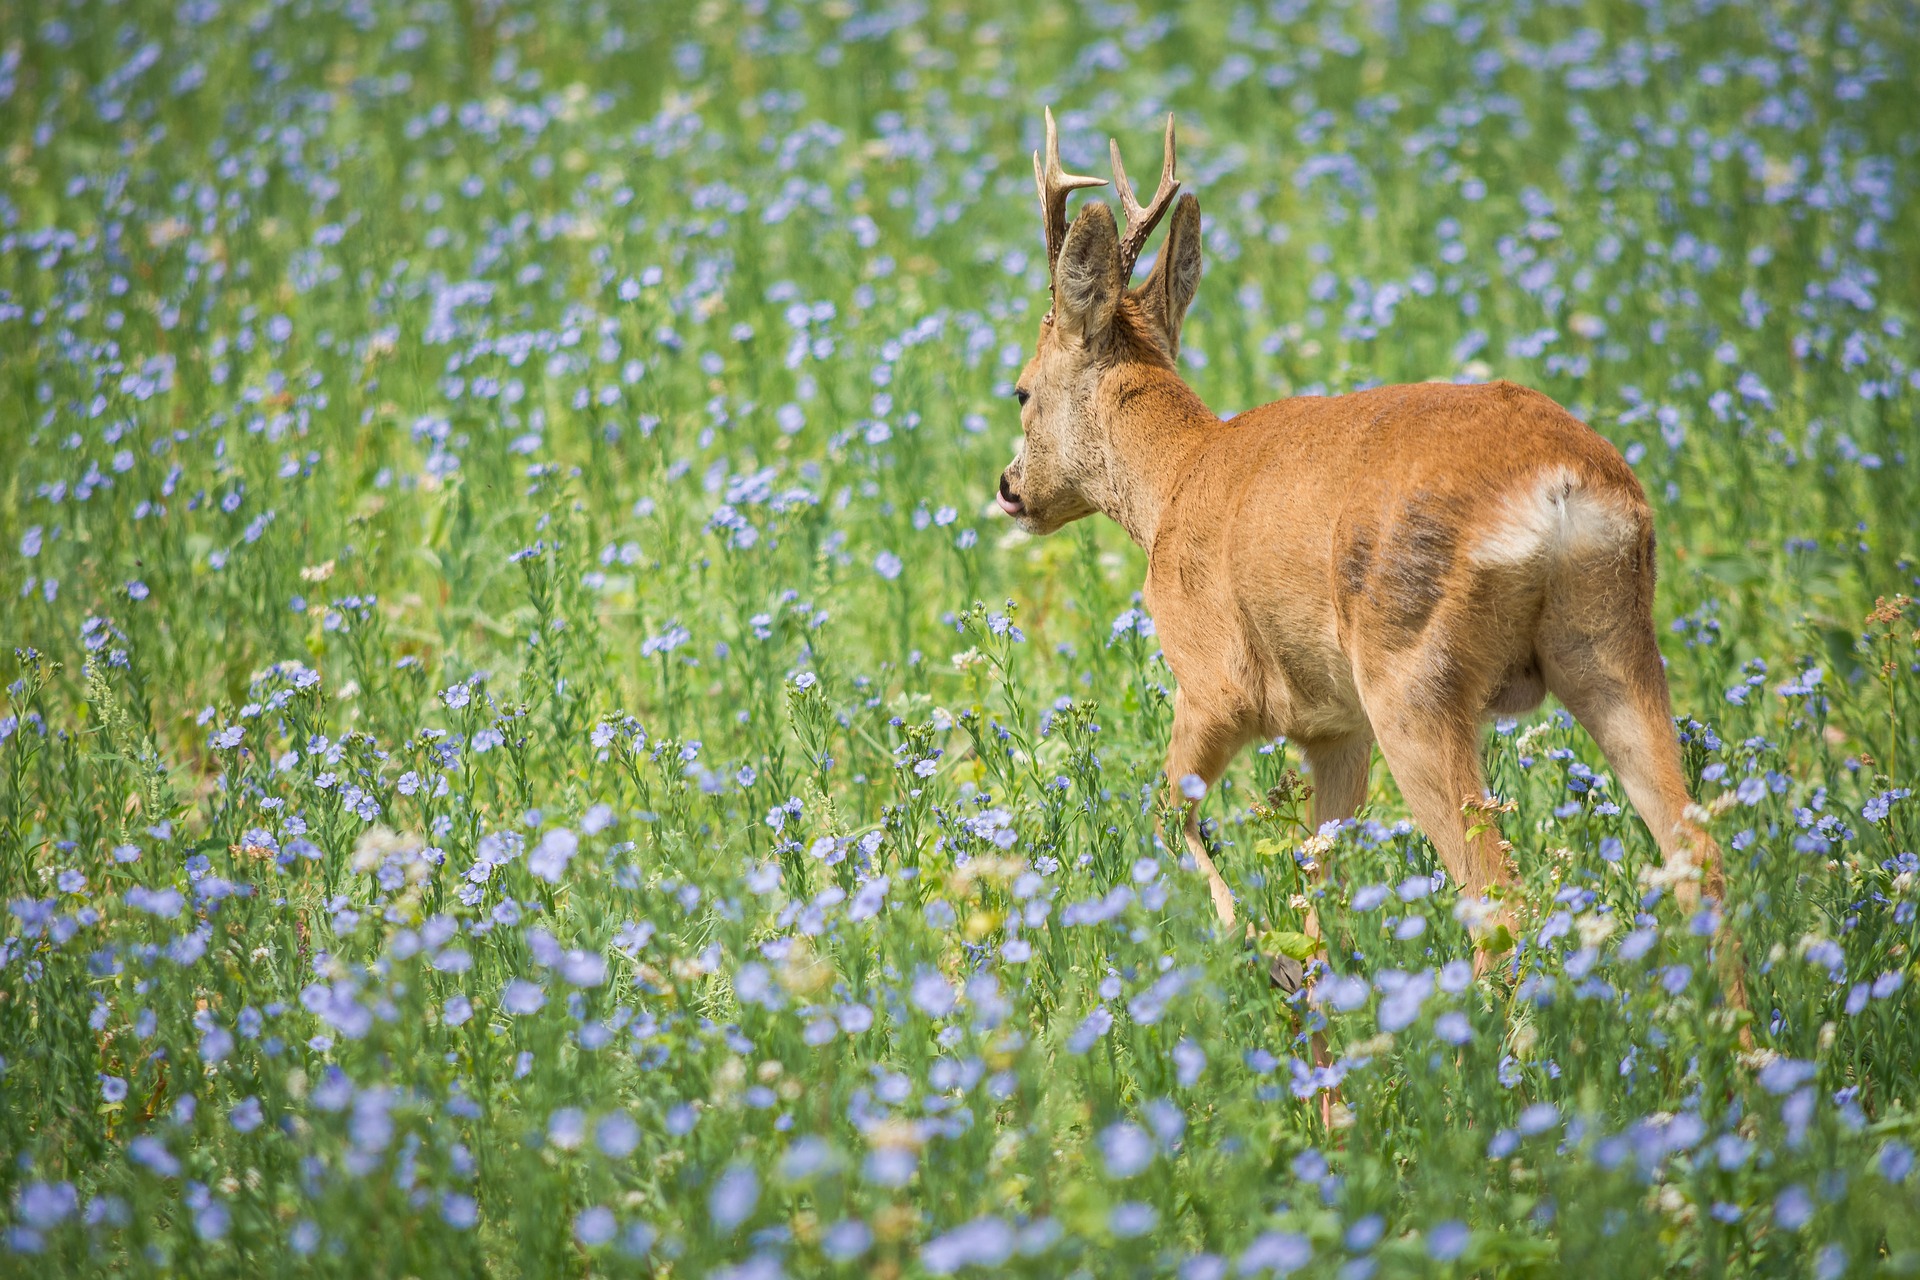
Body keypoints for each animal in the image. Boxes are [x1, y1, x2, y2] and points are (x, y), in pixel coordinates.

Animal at [998, 115, 1735, 990]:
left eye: (1021, 390)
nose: (1010, 487)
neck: (1172, 484)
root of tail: (1563, 490)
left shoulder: (1213, 681)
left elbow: (1167, 816)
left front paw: (1251, 949)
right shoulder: (1334, 727)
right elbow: (1319, 881)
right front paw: (1304, 984)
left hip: (1412, 671)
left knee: (1502, 900)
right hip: (1613, 639)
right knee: (1699, 858)